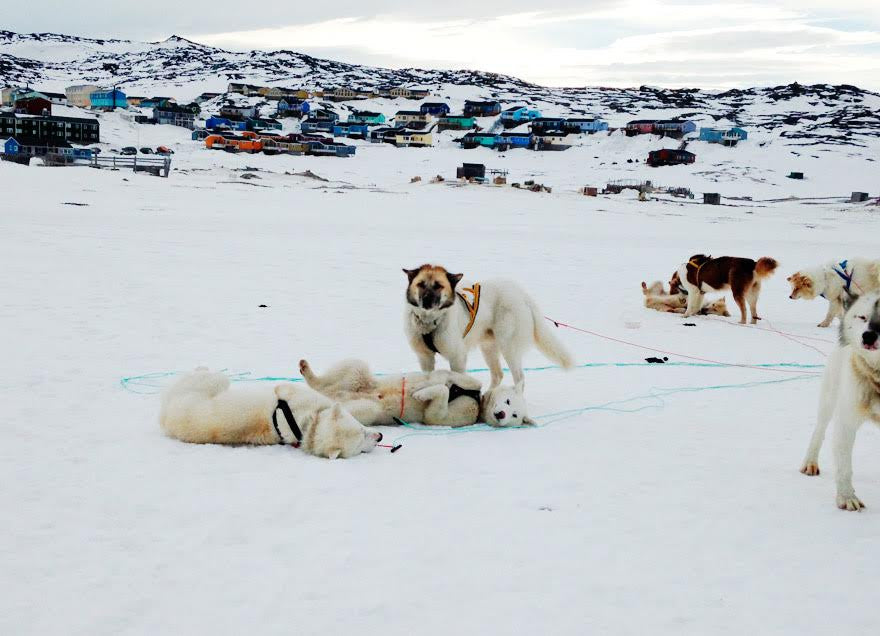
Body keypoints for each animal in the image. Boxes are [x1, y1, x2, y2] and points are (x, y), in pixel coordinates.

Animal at [159, 368, 382, 458]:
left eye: (360, 447)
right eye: (362, 432)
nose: (380, 436)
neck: (305, 426)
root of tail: (167, 418)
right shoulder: (301, 397)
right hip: (201, 389)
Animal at [300, 358, 532, 428]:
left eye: (515, 415)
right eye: (508, 401)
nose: (501, 414)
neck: (477, 399)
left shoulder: (463, 415)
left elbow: (435, 415)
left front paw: (422, 396)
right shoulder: (466, 381)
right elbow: (444, 378)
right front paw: (422, 391)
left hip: (369, 408)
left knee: (358, 408)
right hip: (360, 380)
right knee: (352, 371)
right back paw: (308, 371)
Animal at [800, 294, 880, 512]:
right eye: (862, 317)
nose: (868, 336)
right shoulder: (846, 422)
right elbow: (844, 468)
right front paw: (846, 497)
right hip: (829, 401)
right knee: (818, 432)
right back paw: (810, 462)